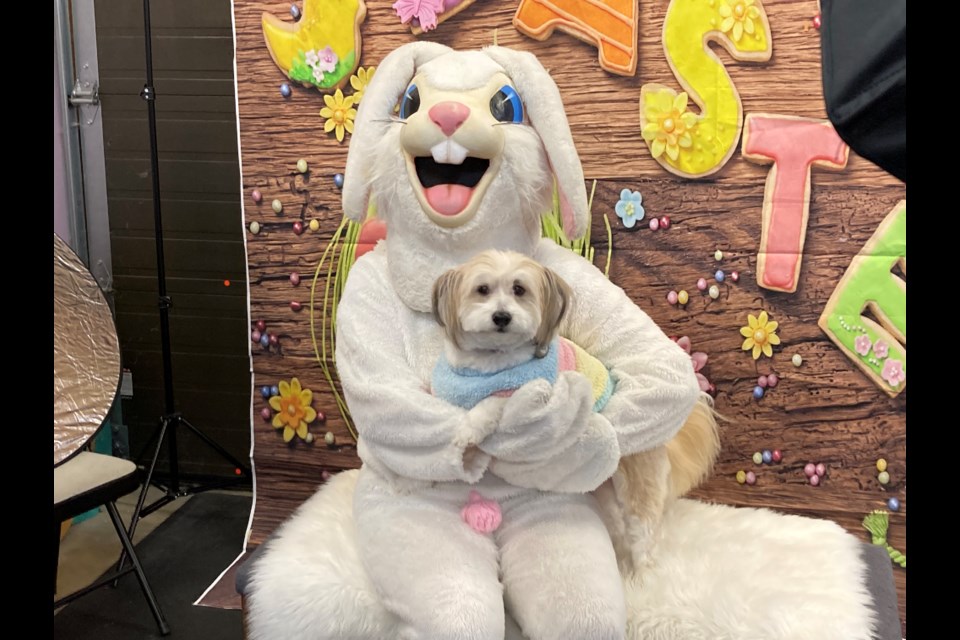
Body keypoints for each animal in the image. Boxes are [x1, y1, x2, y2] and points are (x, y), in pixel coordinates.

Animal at [432, 249, 716, 568]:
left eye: (519, 289)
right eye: (482, 289)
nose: (502, 316)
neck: (491, 361)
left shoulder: (538, 392)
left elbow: (494, 402)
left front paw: (470, 427)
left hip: (639, 481)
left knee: (643, 532)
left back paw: (643, 572)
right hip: (603, 490)